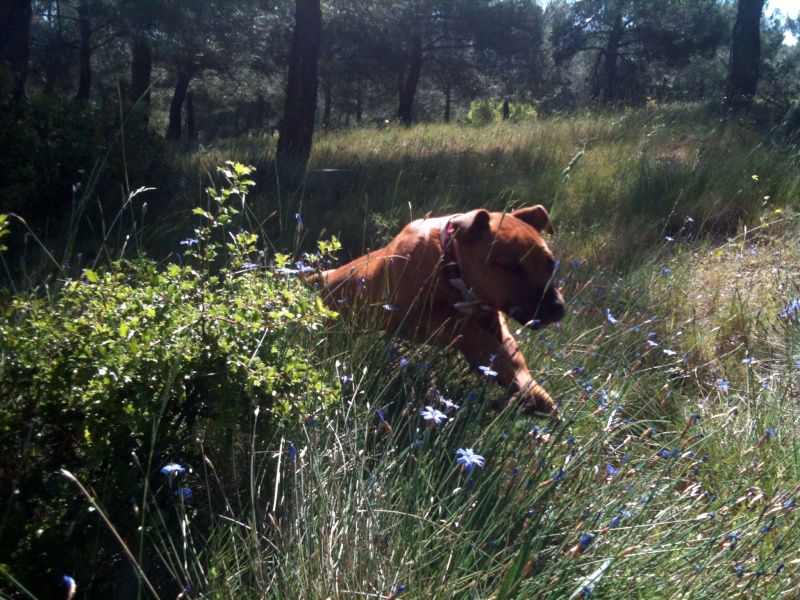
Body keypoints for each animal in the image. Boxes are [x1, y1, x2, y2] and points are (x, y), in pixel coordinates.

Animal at [318, 206, 564, 418]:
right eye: (508, 266)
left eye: (551, 262)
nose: (558, 308)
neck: (449, 263)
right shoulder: (414, 317)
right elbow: (466, 328)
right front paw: (497, 365)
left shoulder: (493, 318)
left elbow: (513, 353)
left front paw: (530, 389)